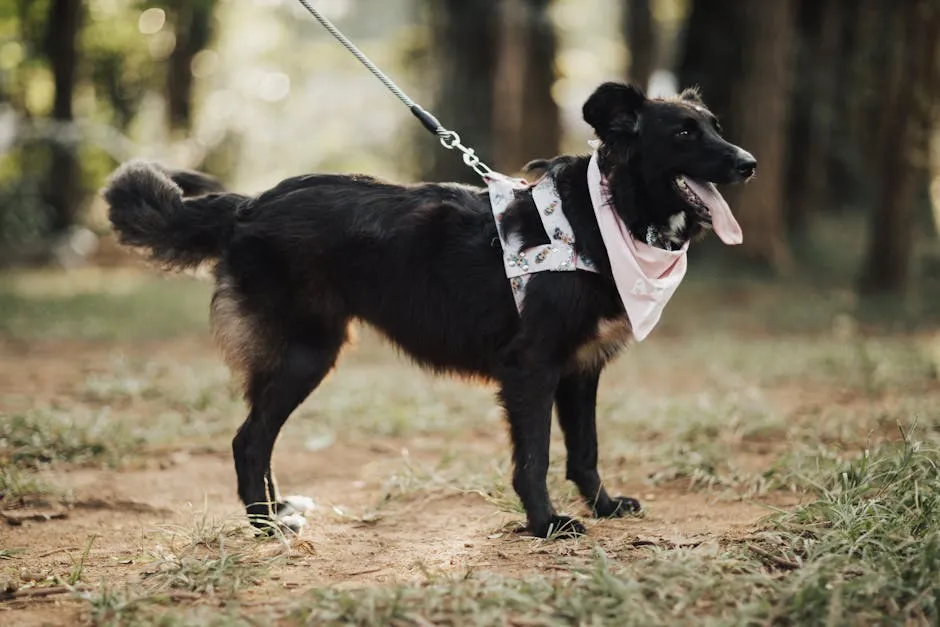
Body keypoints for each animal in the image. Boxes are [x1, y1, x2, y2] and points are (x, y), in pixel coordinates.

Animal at [103, 81, 756, 536]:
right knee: (248, 439)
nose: (749, 163)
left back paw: (275, 510)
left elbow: (585, 452)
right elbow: (536, 456)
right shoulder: (532, 367)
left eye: (715, 126)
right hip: (306, 352)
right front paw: (545, 524)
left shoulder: (580, 369)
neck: (604, 213)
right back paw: (265, 526)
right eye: (683, 135)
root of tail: (249, 204)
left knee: (256, 438)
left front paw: (603, 506)